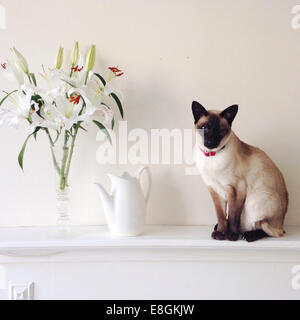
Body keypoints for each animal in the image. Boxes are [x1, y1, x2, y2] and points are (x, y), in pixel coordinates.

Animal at [192, 101, 288, 241]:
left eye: (220, 130)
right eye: (204, 128)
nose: (210, 142)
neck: (212, 156)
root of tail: (282, 222)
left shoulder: (236, 188)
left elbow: (233, 216)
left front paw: (231, 235)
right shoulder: (214, 189)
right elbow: (221, 216)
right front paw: (220, 233)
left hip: (256, 199)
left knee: (267, 228)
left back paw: (247, 235)